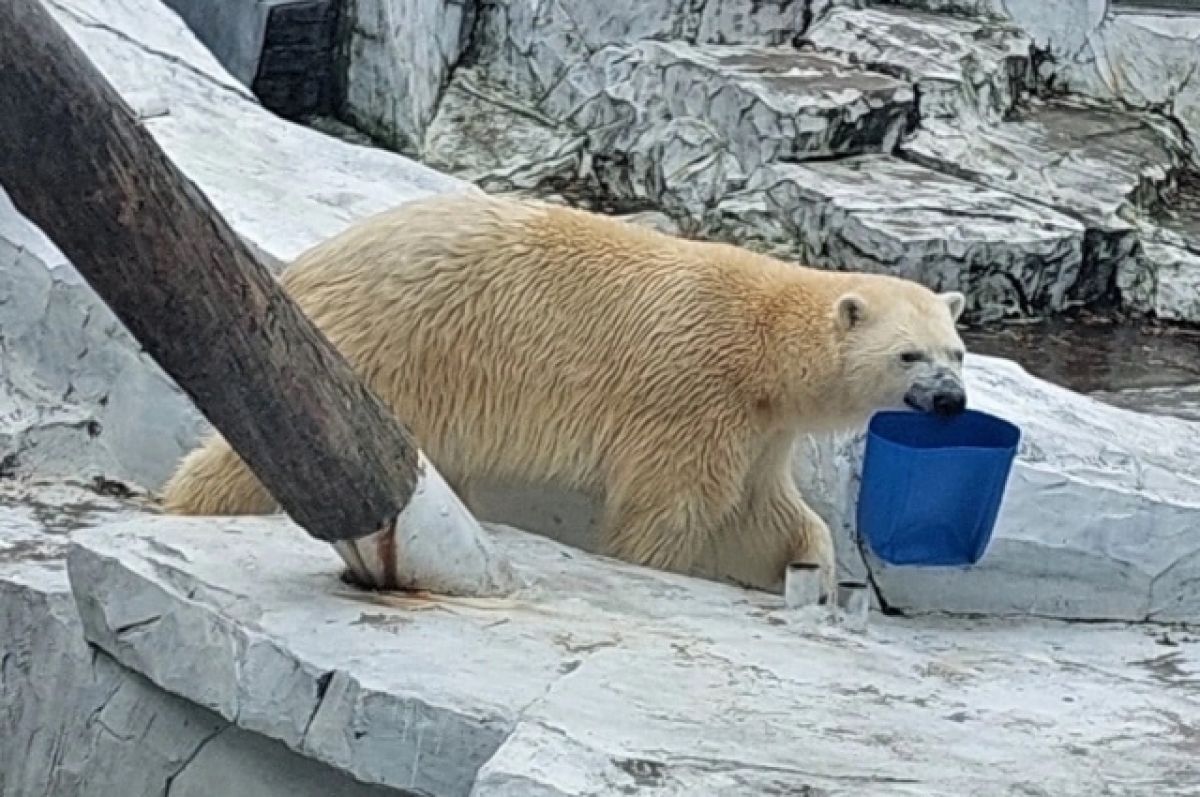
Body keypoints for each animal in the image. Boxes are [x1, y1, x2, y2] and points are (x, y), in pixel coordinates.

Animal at [162, 192, 964, 590]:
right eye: (909, 354)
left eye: (956, 352)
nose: (951, 400)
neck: (765, 339)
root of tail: (309, 265)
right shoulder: (697, 394)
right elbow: (674, 507)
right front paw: (653, 564)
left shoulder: (760, 427)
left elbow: (758, 511)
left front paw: (814, 568)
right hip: (385, 340)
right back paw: (188, 504)